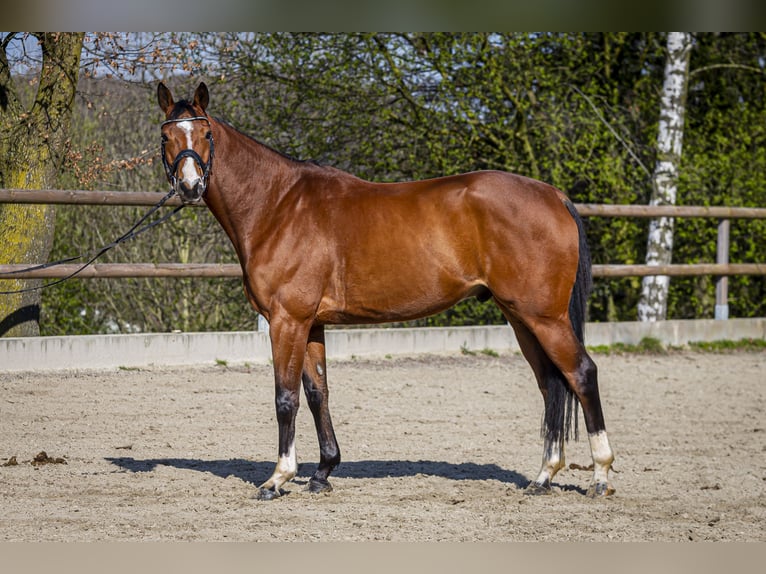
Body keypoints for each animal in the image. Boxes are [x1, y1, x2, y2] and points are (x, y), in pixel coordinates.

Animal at [158, 83, 616, 502]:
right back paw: (543, 476)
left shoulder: (287, 321)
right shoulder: (311, 324)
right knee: (550, 385)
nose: (190, 186)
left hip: (545, 318)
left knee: (581, 374)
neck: (278, 205)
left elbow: (285, 397)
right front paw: (323, 472)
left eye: (206, 134)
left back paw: (600, 477)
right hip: (521, 317)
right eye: (166, 137)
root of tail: (553, 195)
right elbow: (318, 393)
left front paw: (278, 478)